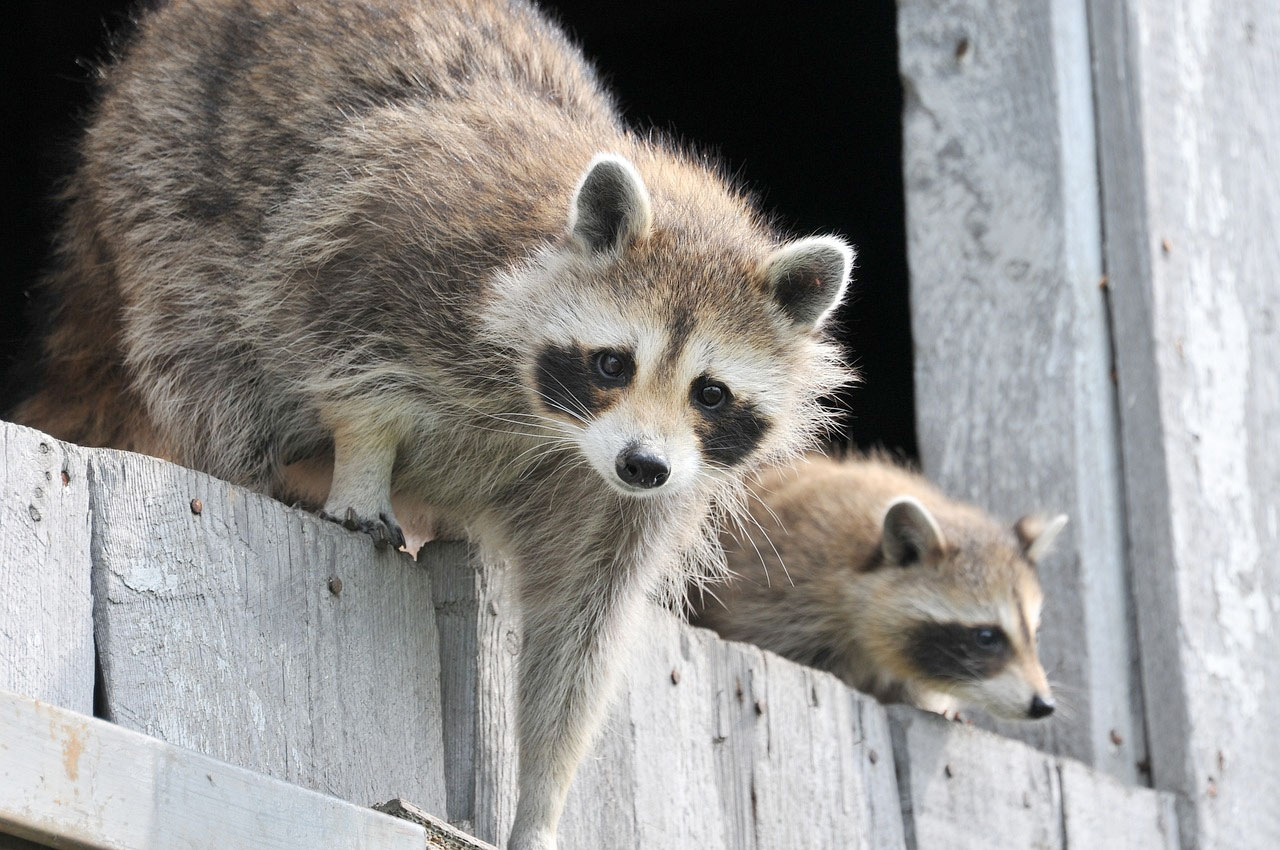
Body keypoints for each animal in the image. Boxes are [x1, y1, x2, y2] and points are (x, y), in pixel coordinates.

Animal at [13, 2, 854, 848]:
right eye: (614, 364)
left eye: (709, 393)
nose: (643, 464)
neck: (550, 424)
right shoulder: (395, 241)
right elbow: (337, 346)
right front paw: (363, 460)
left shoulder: (622, 496)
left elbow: (579, 633)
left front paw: (542, 799)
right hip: (160, 158)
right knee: (201, 337)